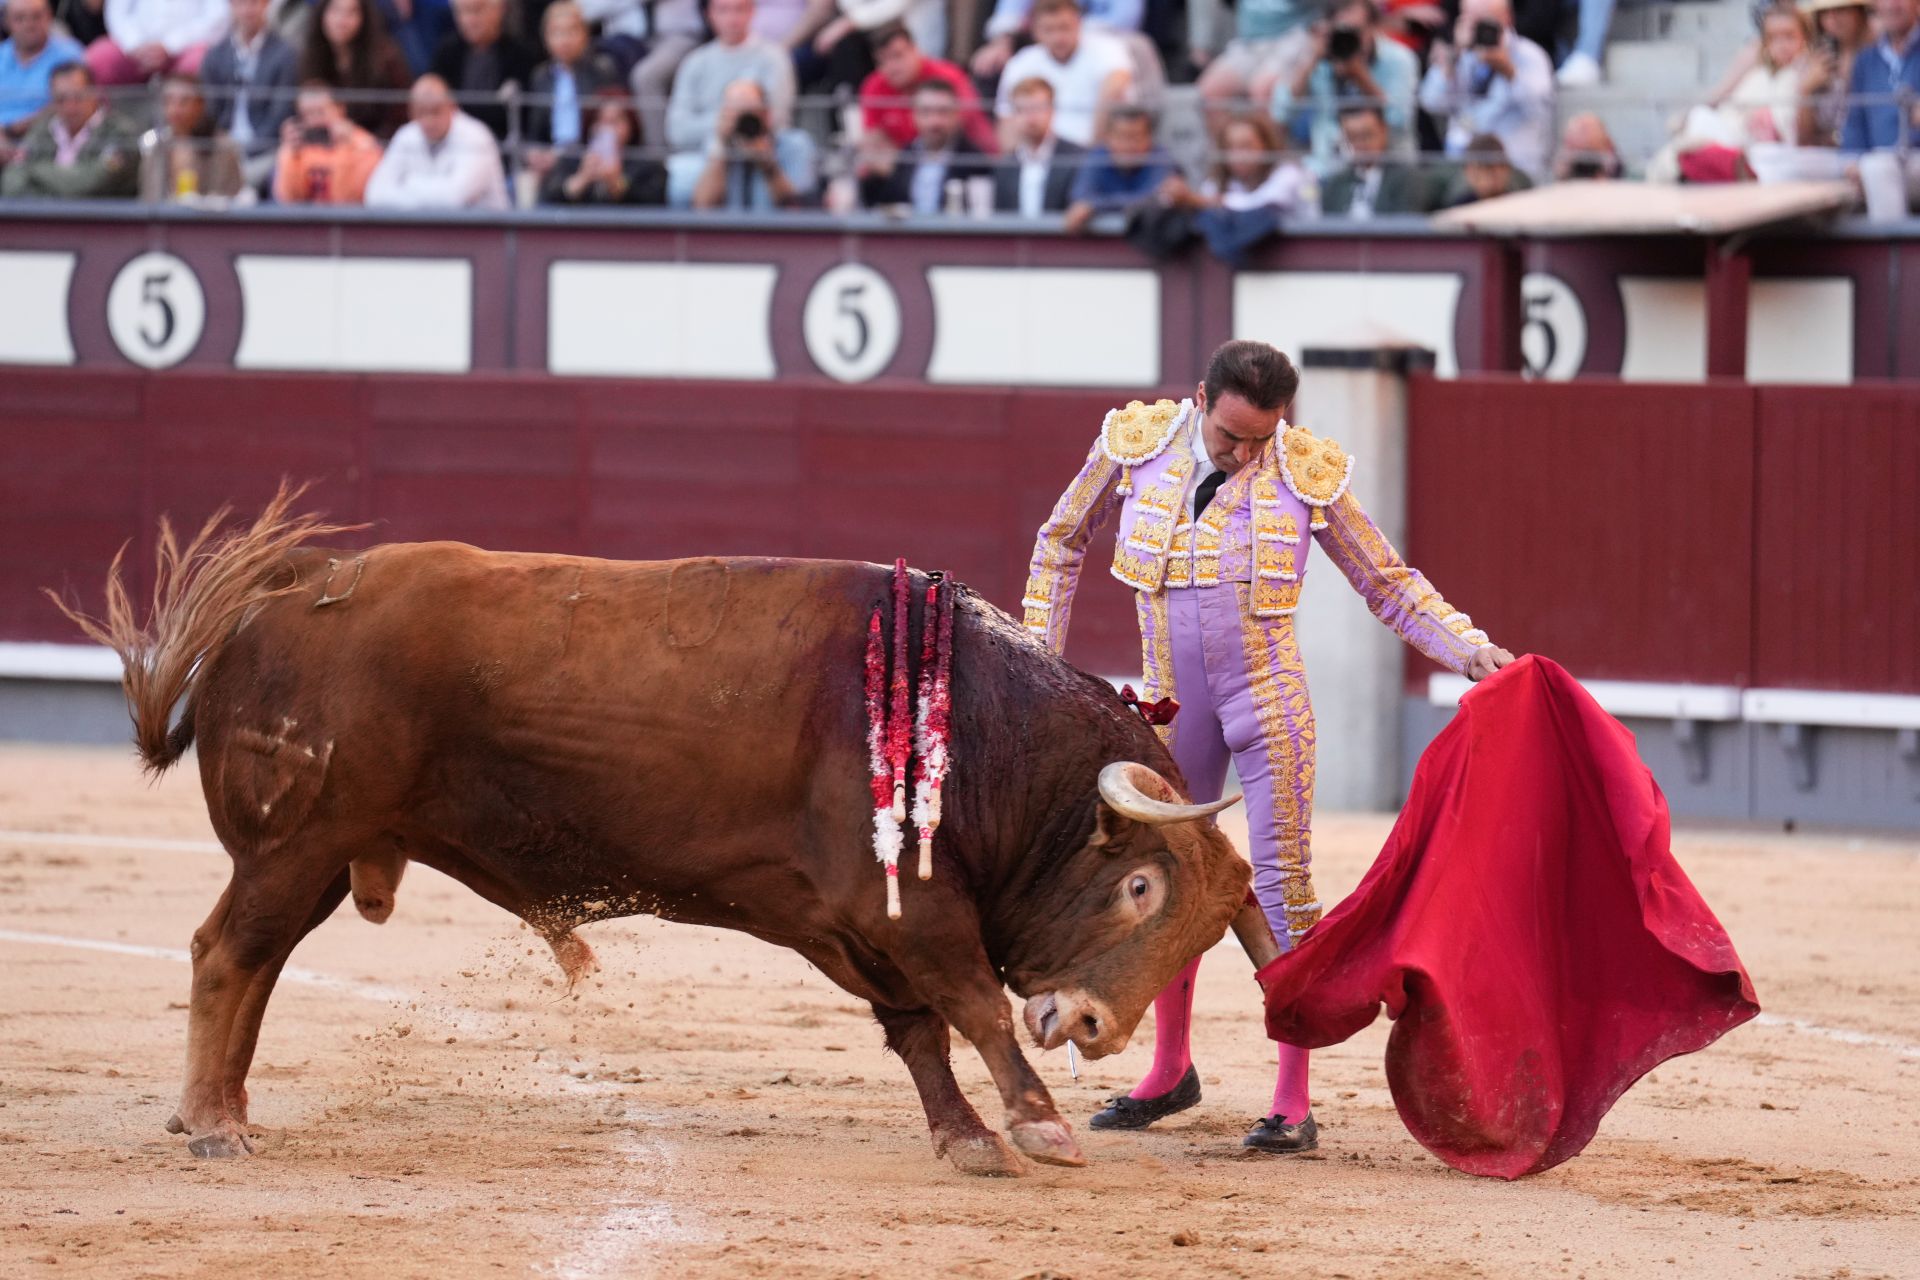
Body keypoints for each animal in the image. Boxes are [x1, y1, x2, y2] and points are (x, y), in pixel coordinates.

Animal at [60, 495, 1259, 1182]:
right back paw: (211, 1124)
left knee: (257, 963)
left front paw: (967, 1139)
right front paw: (1041, 1125)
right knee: (228, 954)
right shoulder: (907, 909)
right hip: (298, 843)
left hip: (312, 854)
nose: (1096, 1026)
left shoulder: (845, 922)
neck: (979, 727)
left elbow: (918, 1028)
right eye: (1143, 888)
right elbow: (972, 1004)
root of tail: (275, 601)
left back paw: (224, 1110)